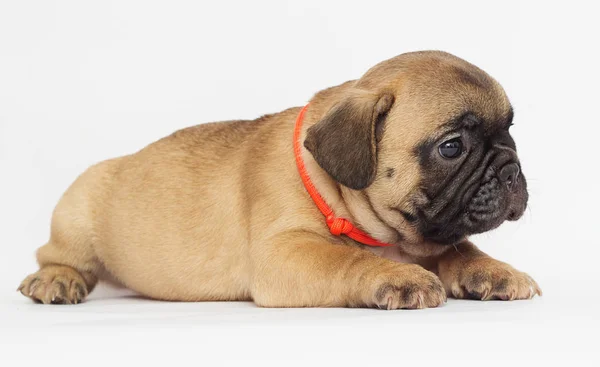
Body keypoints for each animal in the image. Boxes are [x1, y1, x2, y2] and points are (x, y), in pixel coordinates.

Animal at [17, 51, 540, 310]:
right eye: (451, 147)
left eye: (511, 130)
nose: (511, 169)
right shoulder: (284, 253)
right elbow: (346, 260)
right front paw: (396, 277)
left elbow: (461, 249)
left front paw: (495, 271)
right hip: (76, 213)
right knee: (58, 256)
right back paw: (57, 280)